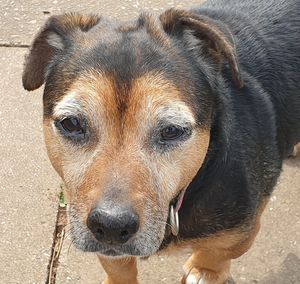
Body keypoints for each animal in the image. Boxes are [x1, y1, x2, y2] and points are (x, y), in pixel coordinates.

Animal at [22, 0, 300, 282]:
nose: (111, 226)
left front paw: (205, 271)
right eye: (71, 124)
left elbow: (217, 253)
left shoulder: (240, 233)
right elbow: (118, 266)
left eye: (172, 131)